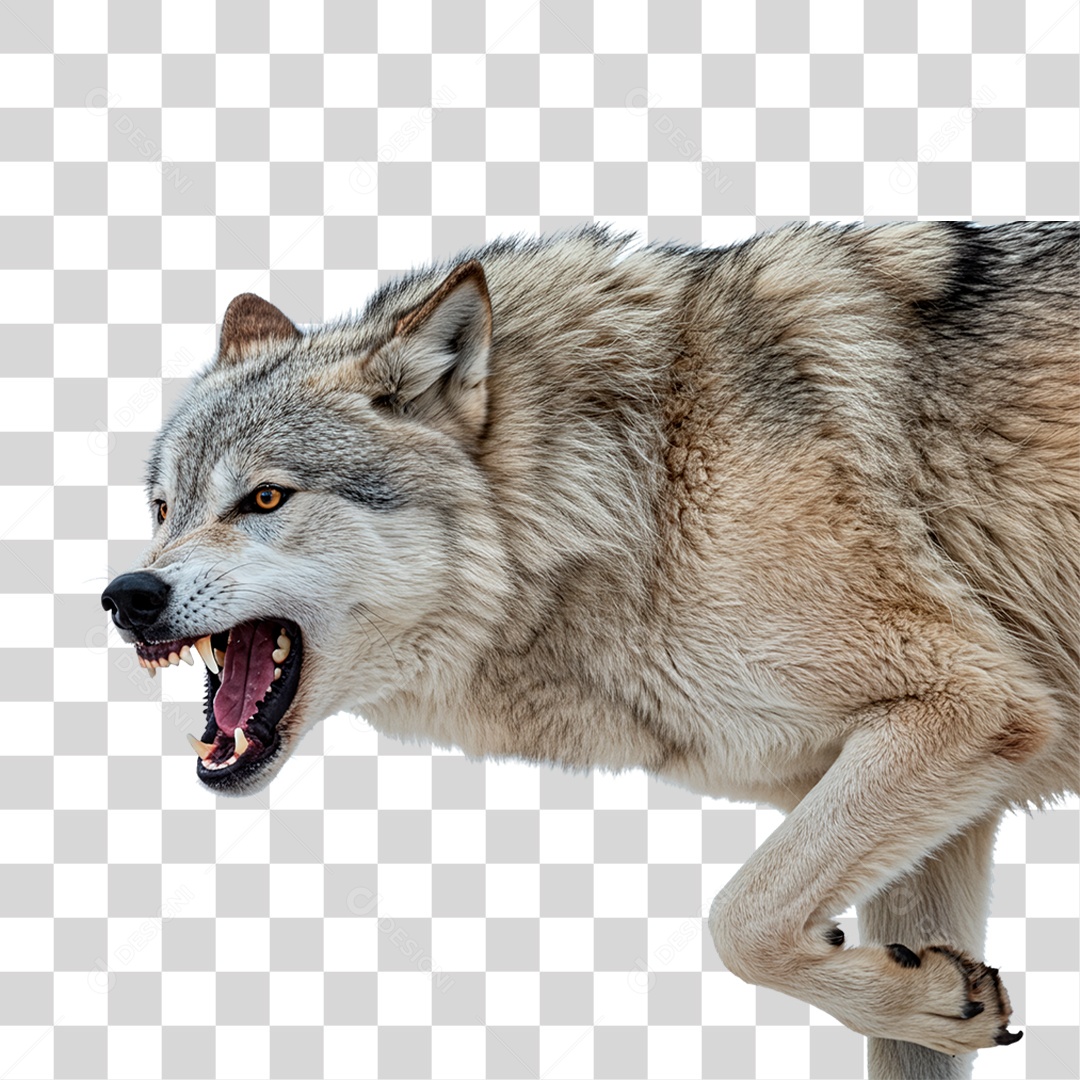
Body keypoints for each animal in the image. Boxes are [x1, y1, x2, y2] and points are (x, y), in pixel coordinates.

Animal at [101, 220, 1078, 1079]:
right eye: (163, 508)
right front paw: (937, 1001)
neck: (638, 489)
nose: (126, 598)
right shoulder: (947, 811)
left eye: (265, 499)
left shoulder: (970, 703)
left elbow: (738, 921)